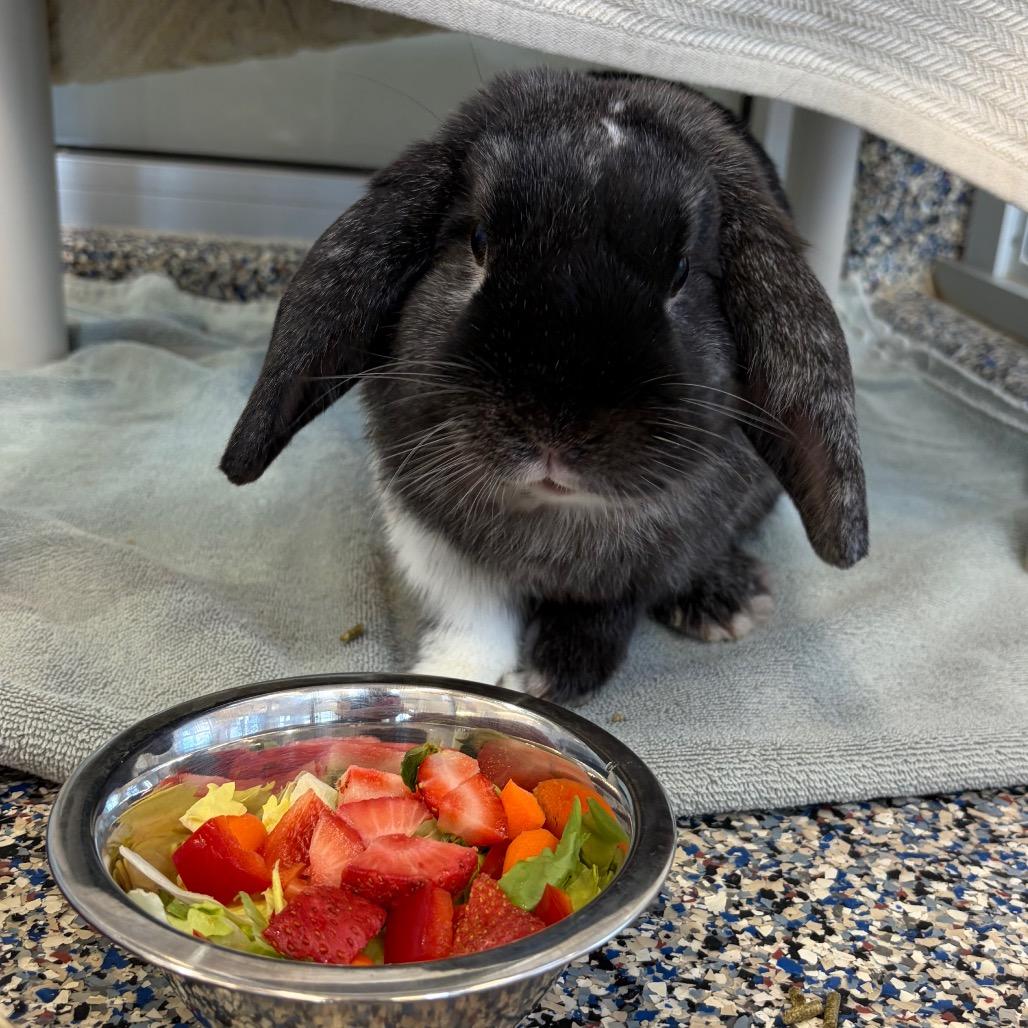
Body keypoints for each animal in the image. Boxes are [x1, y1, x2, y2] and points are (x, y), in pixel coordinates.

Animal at [219, 69, 868, 703]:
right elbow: (473, 619)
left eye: (682, 272)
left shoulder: (647, 562)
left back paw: (725, 601)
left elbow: (610, 608)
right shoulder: (430, 539)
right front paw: (453, 680)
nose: (554, 427)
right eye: (478, 242)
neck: (555, 517)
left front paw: (553, 674)